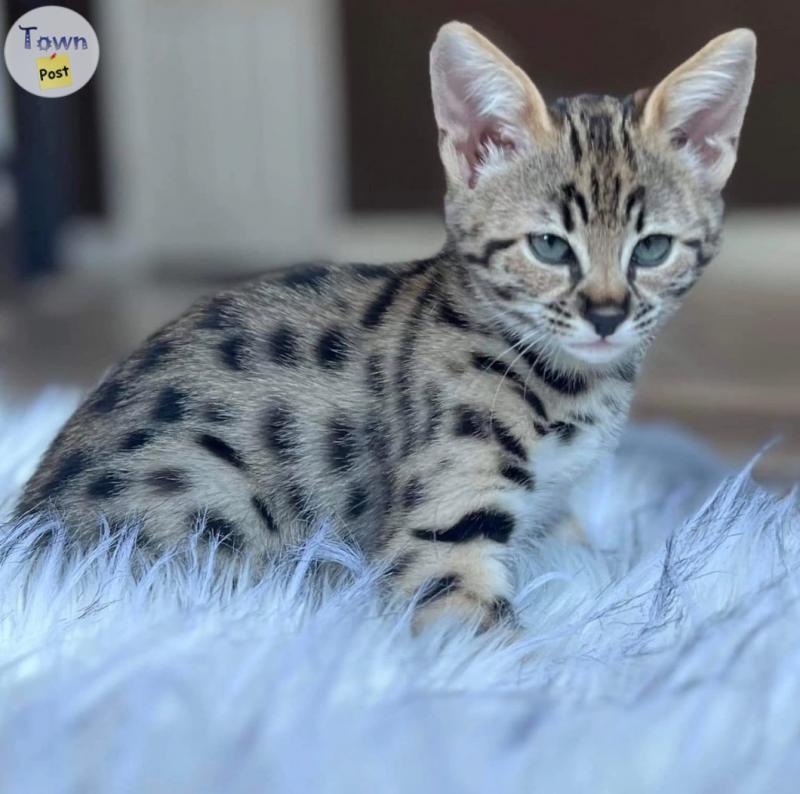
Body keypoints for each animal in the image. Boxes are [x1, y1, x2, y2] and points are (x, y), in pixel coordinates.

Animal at [17, 21, 756, 632]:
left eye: (651, 249)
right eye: (550, 247)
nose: (607, 314)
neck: (573, 383)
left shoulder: (550, 504)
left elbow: (586, 549)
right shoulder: (442, 534)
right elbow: (493, 640)